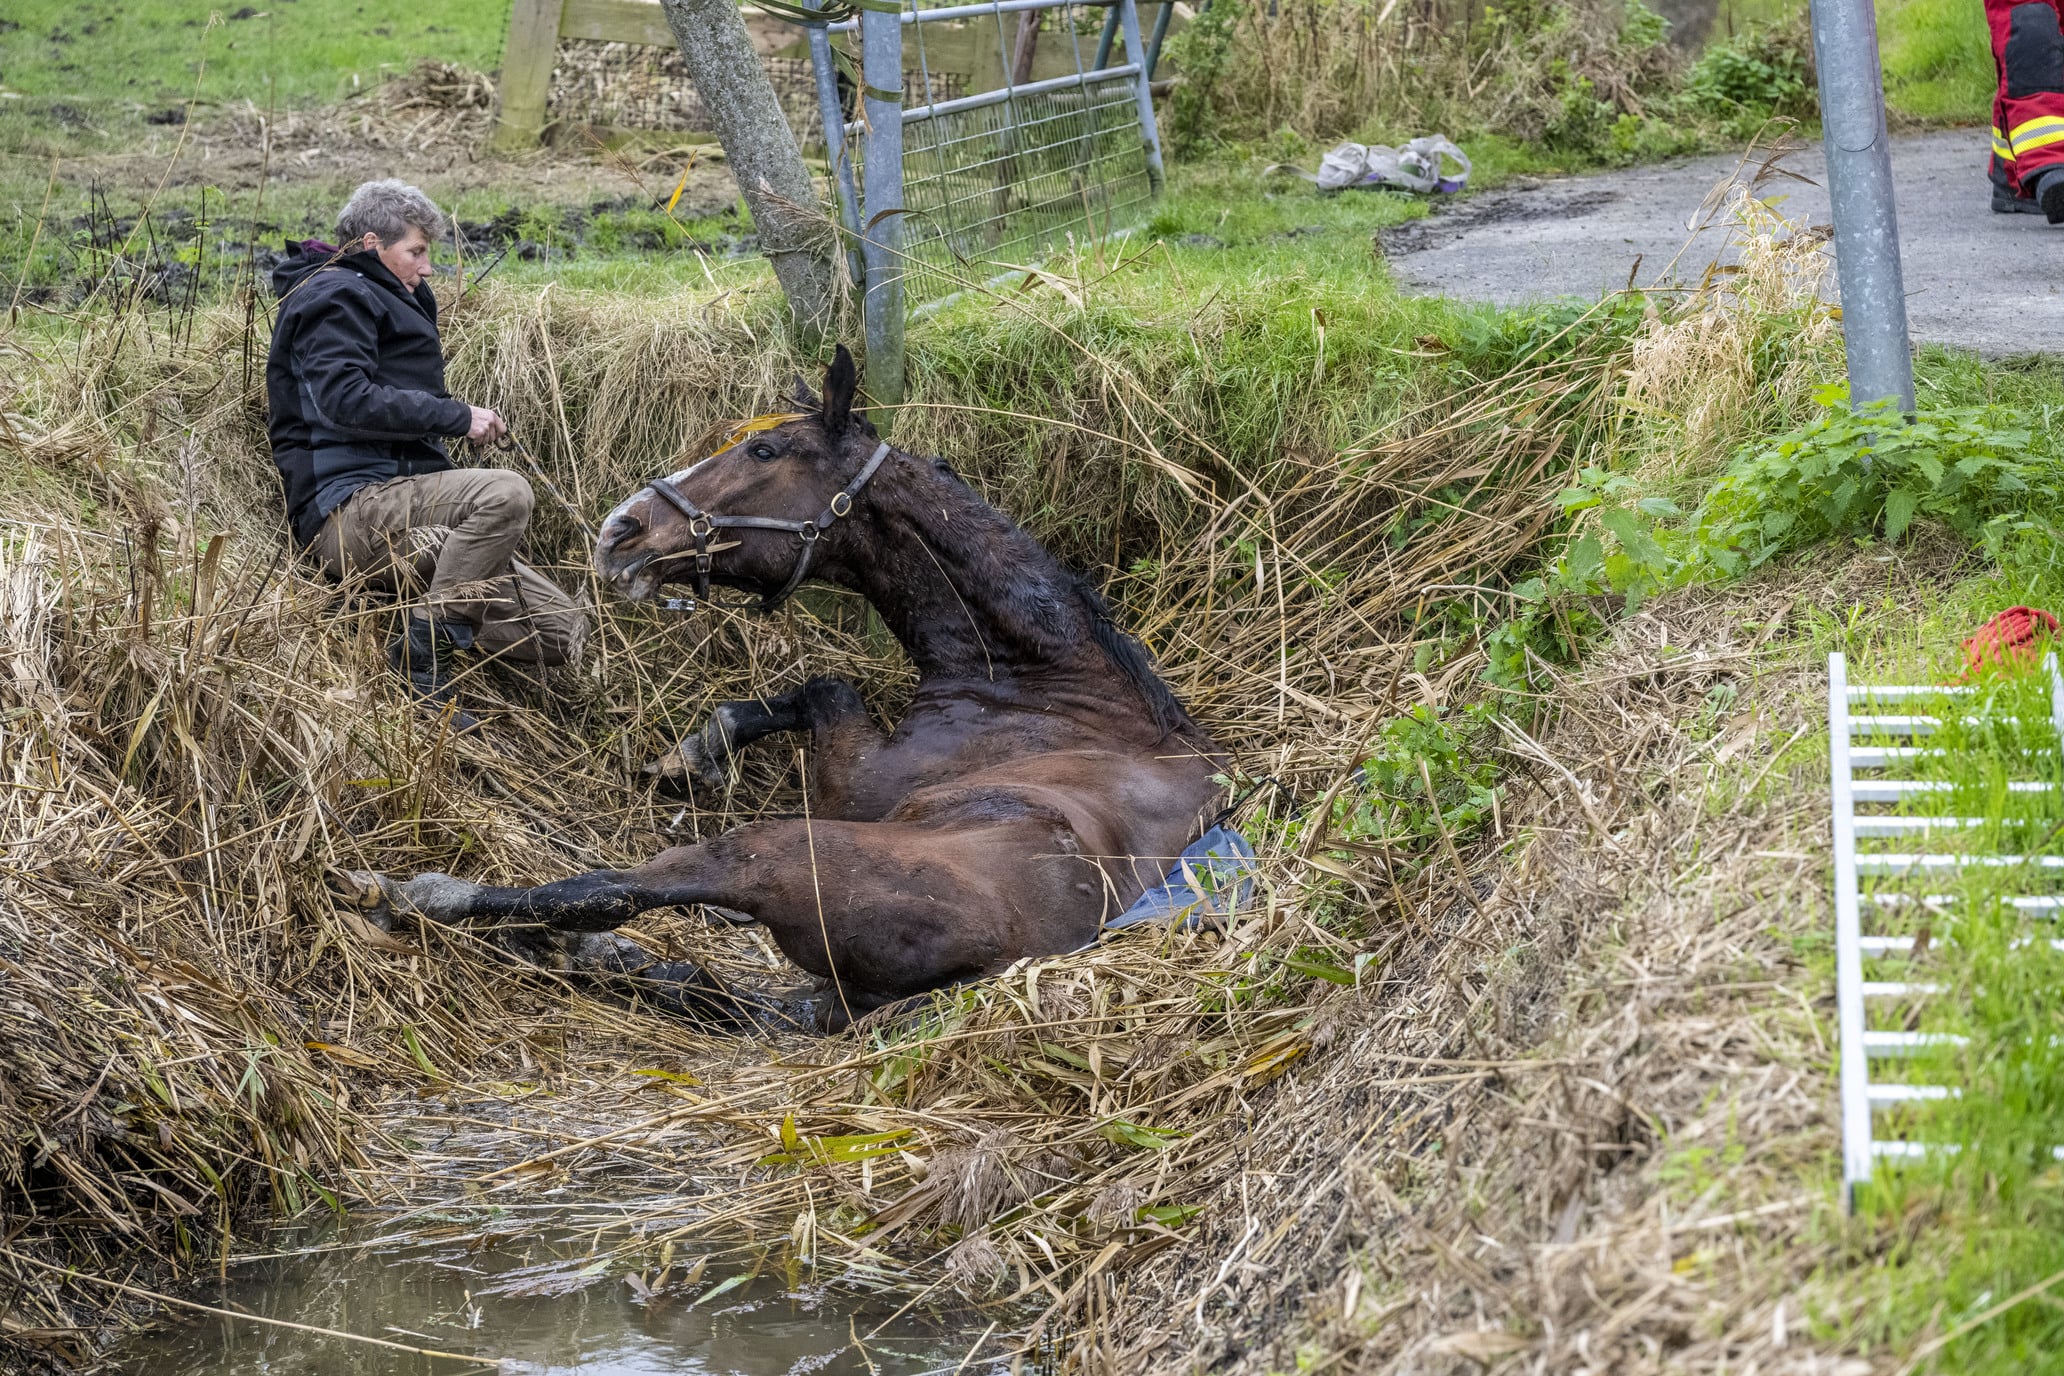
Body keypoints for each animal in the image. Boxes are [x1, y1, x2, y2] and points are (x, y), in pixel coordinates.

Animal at [352, 350, 1221, 1027]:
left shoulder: (862, 789)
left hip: (769, 850)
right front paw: (694, 753)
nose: (618, 533)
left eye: (766, 452)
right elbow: (815, 688)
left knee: (614, 890)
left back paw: (419, 893)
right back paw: (598, 957)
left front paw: (693, 753)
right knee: (717, 991)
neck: (1046, 685)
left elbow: (826, 689)